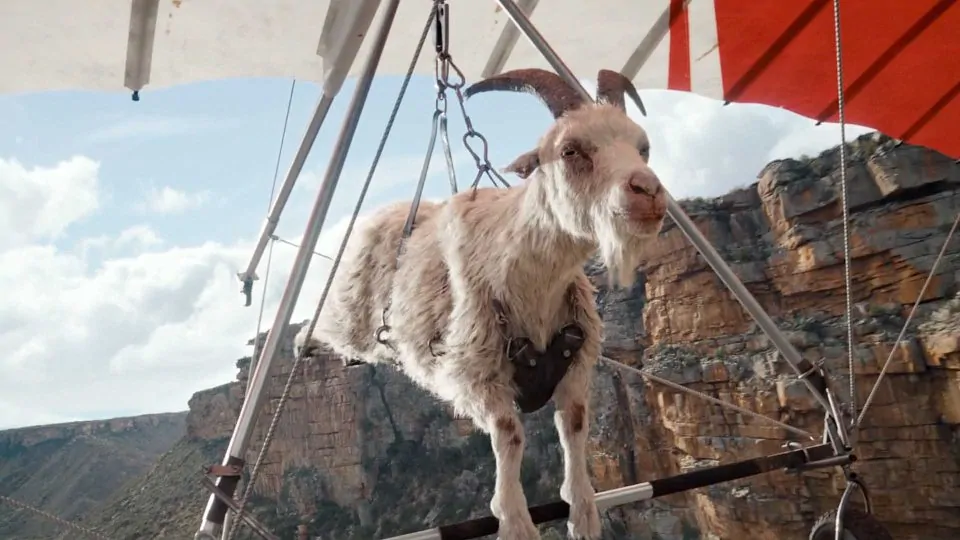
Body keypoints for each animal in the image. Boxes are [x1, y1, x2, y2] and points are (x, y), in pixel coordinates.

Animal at [295, 68, 666, 540]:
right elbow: (510, 434)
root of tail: (387, 210)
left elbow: (574, 427)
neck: (533, 283)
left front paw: (582, 512)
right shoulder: (476, 374)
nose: (647, 190)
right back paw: (304, 343)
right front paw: (514, 519)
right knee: (320, 325)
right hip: (349, 309)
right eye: (570, 150)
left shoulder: (575, 365)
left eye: (643, 147)